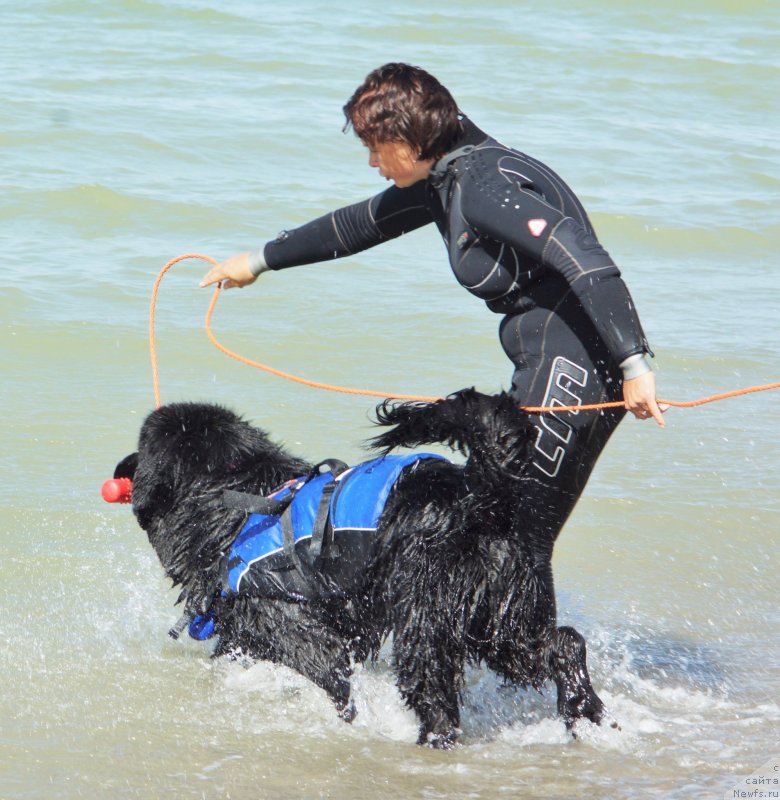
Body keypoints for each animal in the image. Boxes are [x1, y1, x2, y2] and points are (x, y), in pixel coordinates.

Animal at [108, 390, 608, 748]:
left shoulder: (294, 624)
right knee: (563, 645)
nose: (121, 469)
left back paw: (432, 741)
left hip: (427, 622)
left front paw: (350, 719)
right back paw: (586, 713)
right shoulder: (248, 633)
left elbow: (336, 682)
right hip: (503, 618)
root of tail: (479, 495)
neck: (235, 501)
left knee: (436, 693)